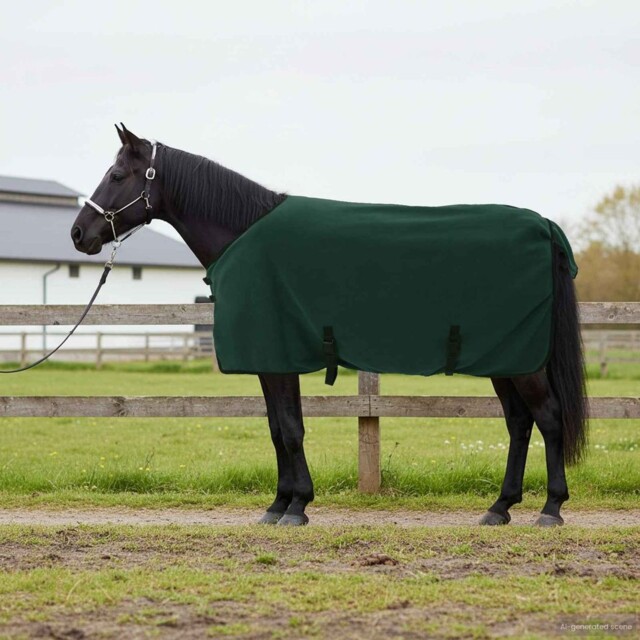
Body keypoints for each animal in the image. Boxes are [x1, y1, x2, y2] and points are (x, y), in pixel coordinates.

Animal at [71, 124, 588, 527]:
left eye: (116, 175)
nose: (79, 234)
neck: (243, 231)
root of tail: (543, 225)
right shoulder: (271, 361)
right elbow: (278, 428)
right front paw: (279, 504)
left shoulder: (277, 358)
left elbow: (290, 429)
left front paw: (297, 506)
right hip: (506, 358)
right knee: (519, 422)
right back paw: (500, 508)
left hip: (523, 363)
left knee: (549, 417)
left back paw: (551, 508)